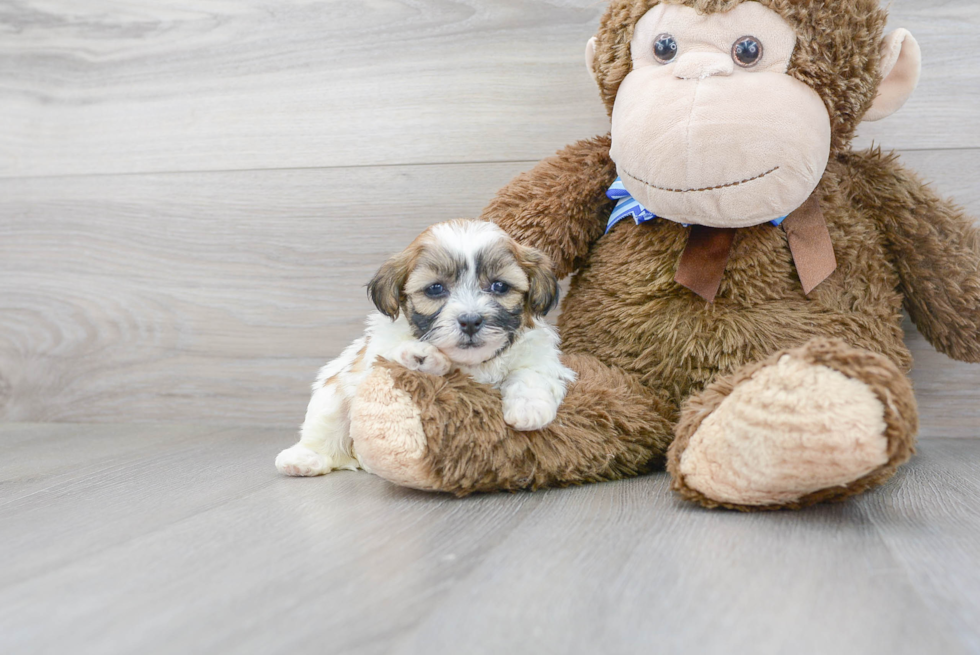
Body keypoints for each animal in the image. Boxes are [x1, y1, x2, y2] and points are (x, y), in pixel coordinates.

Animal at [276, 220, 580, 476]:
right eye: (435, 288)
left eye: (499, 286)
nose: (470, 320)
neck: (472, 363)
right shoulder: (377, 352)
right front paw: (423, 356)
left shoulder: (539, 354)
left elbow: (531, 374)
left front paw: (529, 409)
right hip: (331, 395)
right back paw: (303, 459)